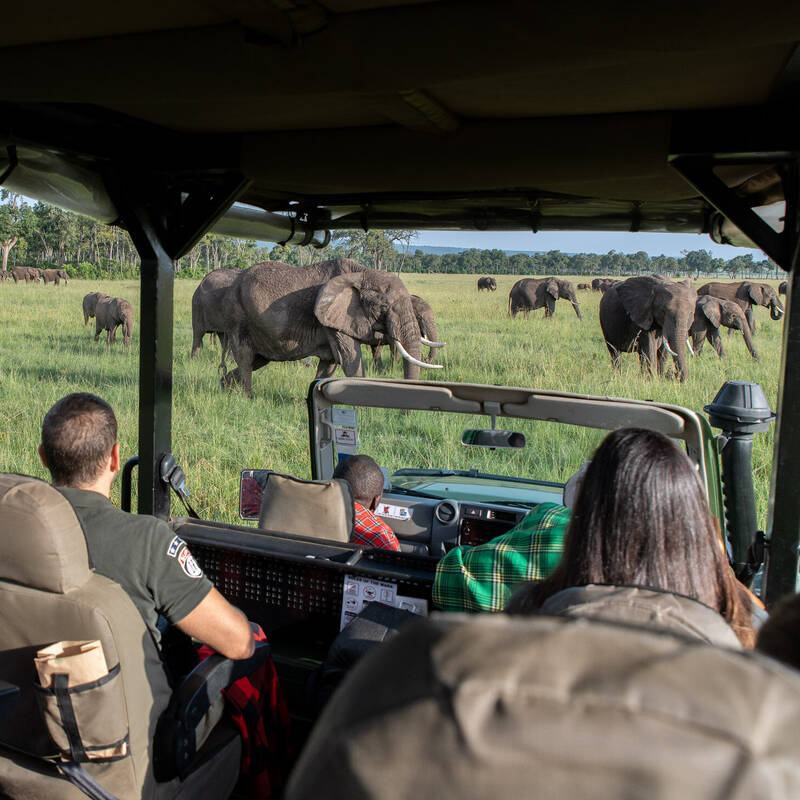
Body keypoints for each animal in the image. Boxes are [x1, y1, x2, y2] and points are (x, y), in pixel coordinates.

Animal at [219, 260, 444, 396]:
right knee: (246, 359)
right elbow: (350, 359)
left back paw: (224, 385)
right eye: (384, 307)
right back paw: (247, 397)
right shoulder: (333, 320)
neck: (362, 273)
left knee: (257, 360)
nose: (406, 412)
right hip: (238, 317)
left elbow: (330, 364)